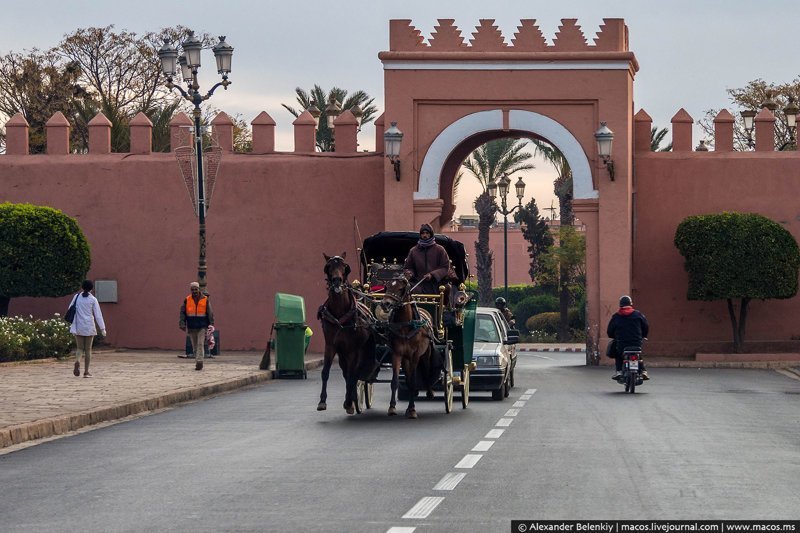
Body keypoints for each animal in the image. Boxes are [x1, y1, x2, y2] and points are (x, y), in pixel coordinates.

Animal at [318, 255, 374, 416]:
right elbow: (325, 372)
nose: (337, 280)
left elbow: (351, 375)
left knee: (354, 374)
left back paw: (352, 400)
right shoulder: (330, 346)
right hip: (342, 353)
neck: (339, 314)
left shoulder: (352, 350)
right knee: (348, 373)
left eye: (345, 267)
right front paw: (322, 401)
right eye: (328, 266)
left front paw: (349, 402)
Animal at [380, 276, 438, 418]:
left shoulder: (415, 355)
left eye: (401, 288)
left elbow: (413, 382)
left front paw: (412, 409)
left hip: (426, 353)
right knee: (407, 375)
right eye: (387, 286)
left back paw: (429, 391)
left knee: (426, 371)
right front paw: (392, 407)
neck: (406, 325)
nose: (385, 304)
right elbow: (395, 381)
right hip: (405, 358)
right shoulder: (397, 354)